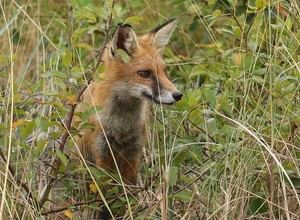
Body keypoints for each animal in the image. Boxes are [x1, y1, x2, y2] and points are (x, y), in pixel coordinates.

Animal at [76, 19, 182, 186]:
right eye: (144, 73)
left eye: (164, 71)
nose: (178, 95)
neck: (122, 126)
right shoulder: (102, 152)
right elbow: (104, 187)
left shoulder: (134, 153)